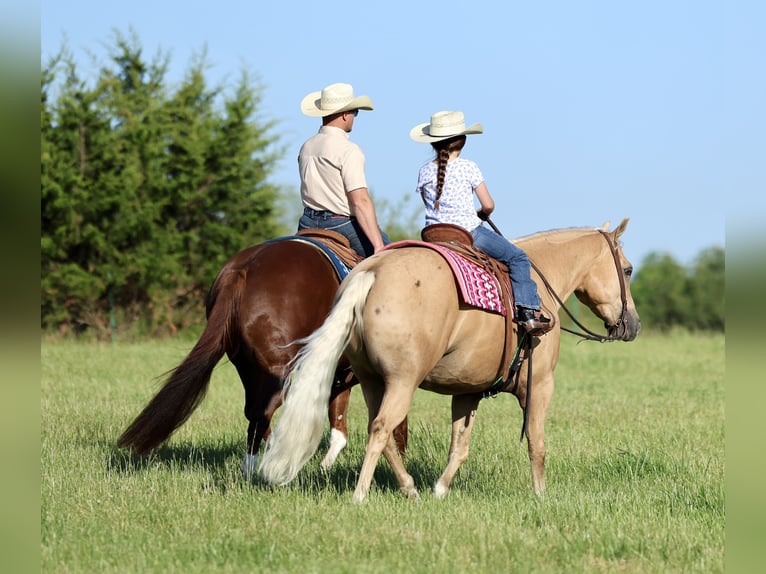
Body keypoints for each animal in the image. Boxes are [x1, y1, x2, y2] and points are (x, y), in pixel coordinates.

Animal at [117, 233, 408, 474]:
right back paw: (257, 469)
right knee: (261, 414)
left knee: (255, 414)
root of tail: (244, 269)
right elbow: (395, 422)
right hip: (278, 374)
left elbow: (339, 428)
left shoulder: (340, 379)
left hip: (250, 369)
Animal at [258, 218, 641, 501]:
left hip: (371, 381)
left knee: (379, 432)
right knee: (382, 428)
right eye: (628, 269)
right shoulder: (540, 385)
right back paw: (360, 495)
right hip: (402, 382)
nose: (633, 325)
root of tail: (371, 273)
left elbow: (460, 446)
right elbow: (537, 443)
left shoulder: (467, 392)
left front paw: (440, 489)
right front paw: (540, 495)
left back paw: (409, 488)